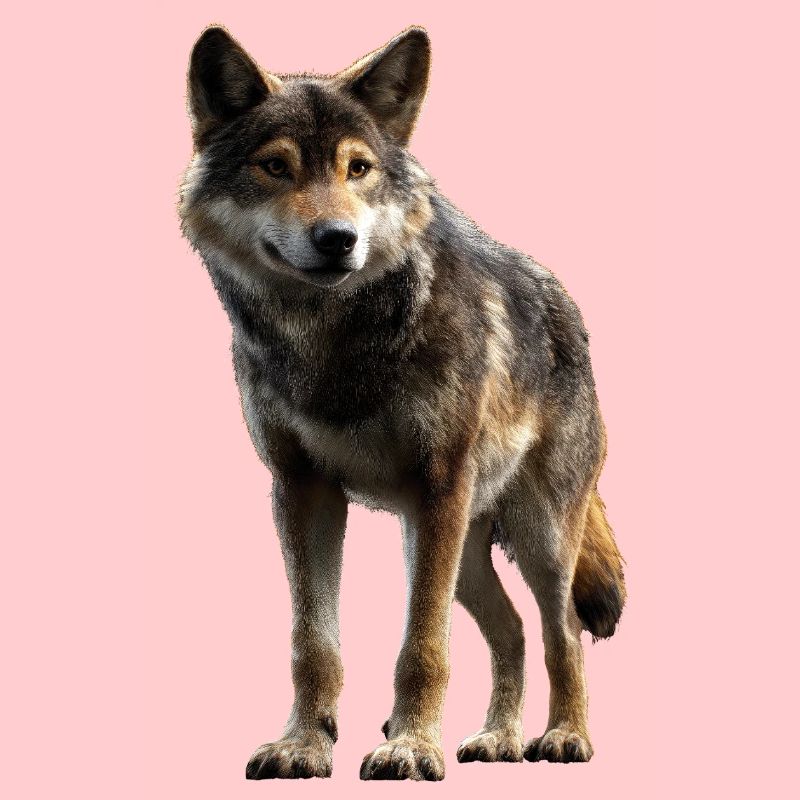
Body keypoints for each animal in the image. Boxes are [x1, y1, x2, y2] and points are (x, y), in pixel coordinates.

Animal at [179, 25, 626, 781]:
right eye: (276, 167)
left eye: (358, 168)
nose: (338, 239)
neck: (334, 341)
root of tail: (567, 306)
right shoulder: (302, 490)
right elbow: (313, 644)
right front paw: (304, 745)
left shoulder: (437, 487)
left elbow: (422, 646)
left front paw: (411, 747)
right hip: (461, 551)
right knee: (510, 632)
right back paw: (497, 739)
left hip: (530, 536)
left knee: (560, 631)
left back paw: (564, 736)